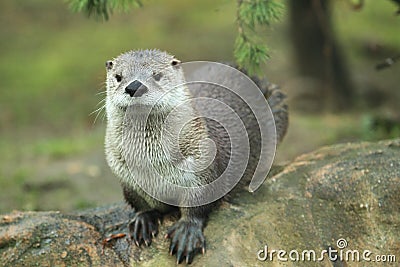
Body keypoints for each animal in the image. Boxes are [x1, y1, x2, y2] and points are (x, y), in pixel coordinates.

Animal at [103, 49, 288, 264]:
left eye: (156, 75)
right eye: (119, 77)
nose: (134, 87)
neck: (151, 166)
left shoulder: (201, 165)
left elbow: (199, 202)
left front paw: (187, 232)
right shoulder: (126, 178)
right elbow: (139, 203)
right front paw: (143, 220)